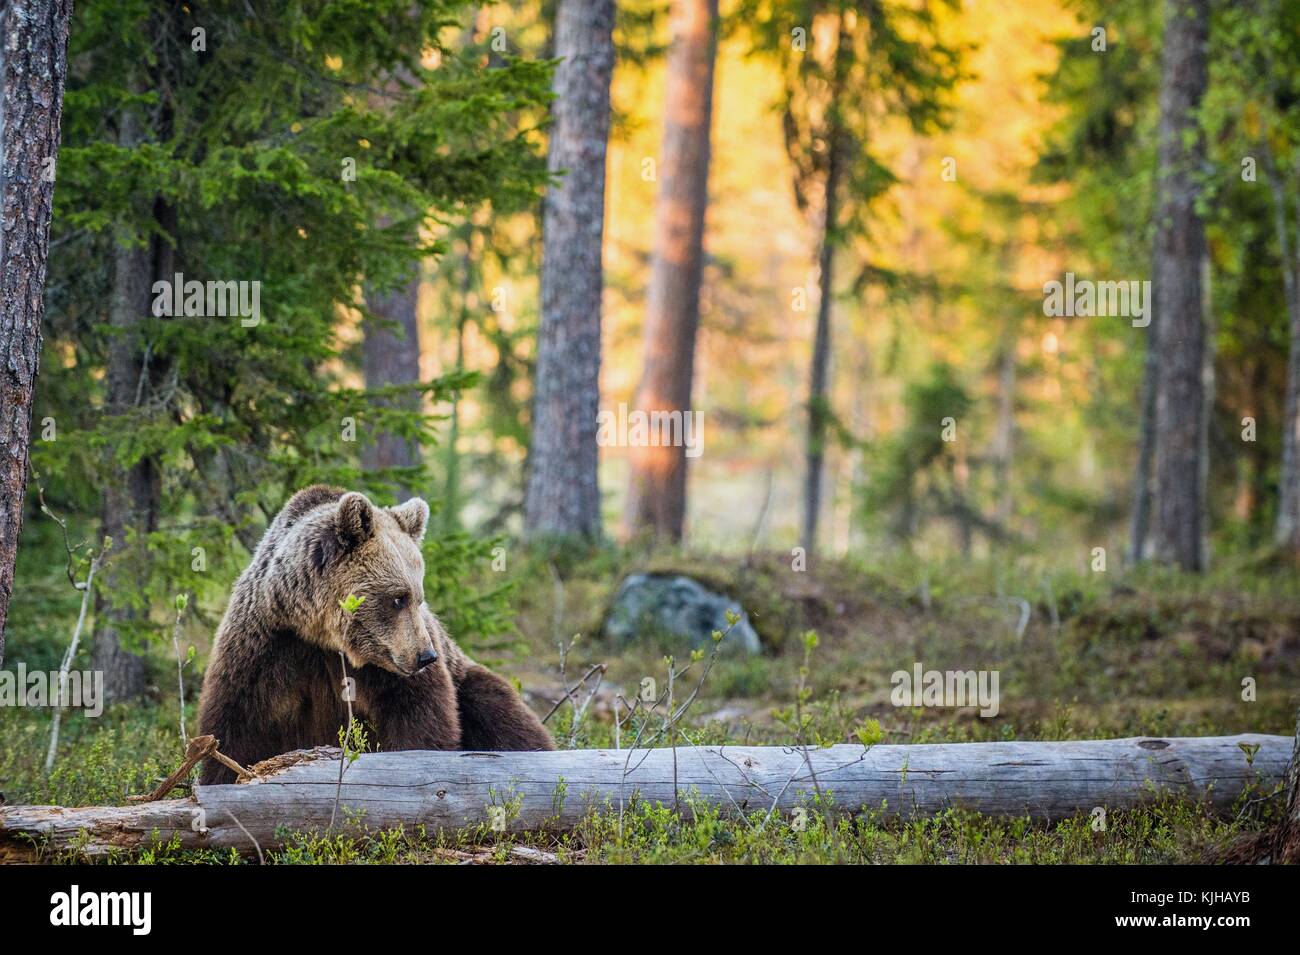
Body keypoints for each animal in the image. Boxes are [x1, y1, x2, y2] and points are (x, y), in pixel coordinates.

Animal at [197, 484, 553, 784]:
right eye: (398, 598)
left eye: (419, 597)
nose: (426, 656)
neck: (322, 635)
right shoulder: (269, 643)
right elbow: (238, 723)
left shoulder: (386, 668)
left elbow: (420, 718)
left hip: (466, 678)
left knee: (499, 711)